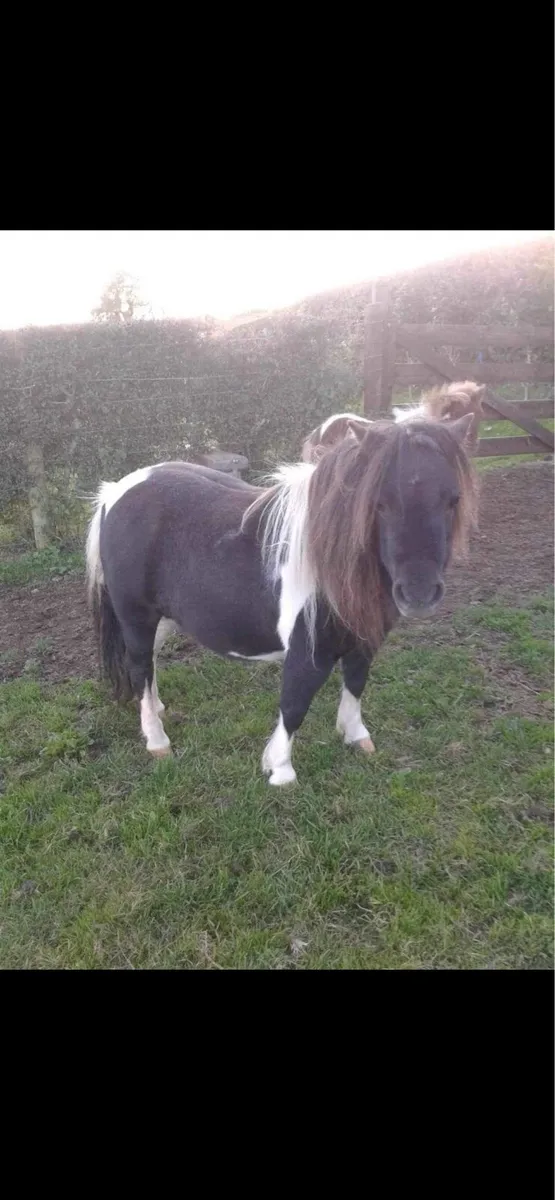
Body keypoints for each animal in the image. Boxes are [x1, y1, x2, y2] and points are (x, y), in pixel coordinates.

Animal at [86, 414, 478, 786]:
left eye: (454, 499)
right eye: (379, 504)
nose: (419, 593)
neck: (328, 564)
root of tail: (114, 493)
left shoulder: (364, 640)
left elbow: (355, 684)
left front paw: (356, 737)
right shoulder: (309, 651)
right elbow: (294, 704)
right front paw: (281, 771)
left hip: (162, 618)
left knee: (148, 664)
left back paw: (156, 708)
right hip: (136, 616)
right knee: (140, 666)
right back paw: (157, 740)